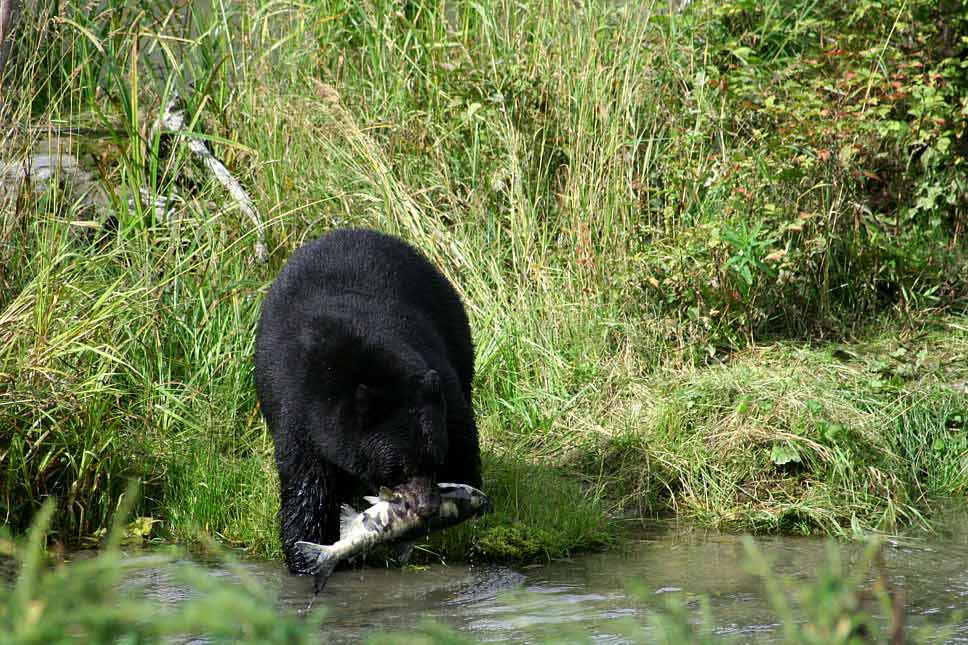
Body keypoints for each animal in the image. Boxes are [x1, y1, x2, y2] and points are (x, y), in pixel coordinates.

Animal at [253, 229, 480, 572]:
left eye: (436, 459)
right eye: (398, 469)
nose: (427, 508)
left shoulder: (440, 378)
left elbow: (463, 439)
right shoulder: (297, 411)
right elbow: (307, 484)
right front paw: (303, 554)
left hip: (455, 329)